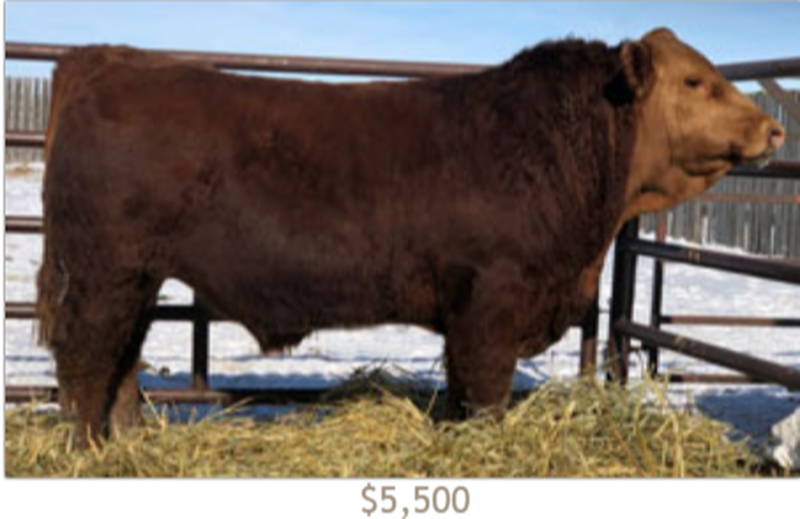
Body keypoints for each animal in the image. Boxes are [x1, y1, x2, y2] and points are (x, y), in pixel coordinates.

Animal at [36, 28, 785, 448]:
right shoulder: (492, 301)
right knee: (85, 361)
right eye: (696, 80)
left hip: (137, 277)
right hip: (99, 271)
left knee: (122, 363)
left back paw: (129, 445)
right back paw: (88, 452)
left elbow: (460, 389)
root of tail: (107, 62)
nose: (773, 128)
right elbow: (486, 392)